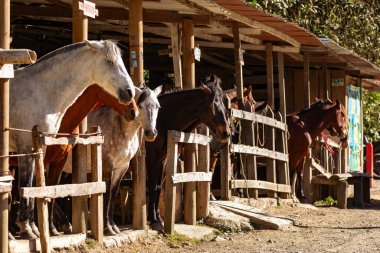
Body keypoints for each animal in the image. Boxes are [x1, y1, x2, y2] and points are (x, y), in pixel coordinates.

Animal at [10, 40, 137, 238]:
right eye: (109, 62)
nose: (130, 95)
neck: (41, 92)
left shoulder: (43, 153)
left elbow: (40, 188)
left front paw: (36, 227)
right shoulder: (27, 149)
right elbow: (28, 186)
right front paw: (28, 228)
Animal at [145, 73, 229, 225]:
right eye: (214, 104)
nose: (226, 133)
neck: (162, 119)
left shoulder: (163, 158)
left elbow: (158, 187)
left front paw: (158, 218)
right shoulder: (151, 155)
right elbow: (152, 185)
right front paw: (152, 218)